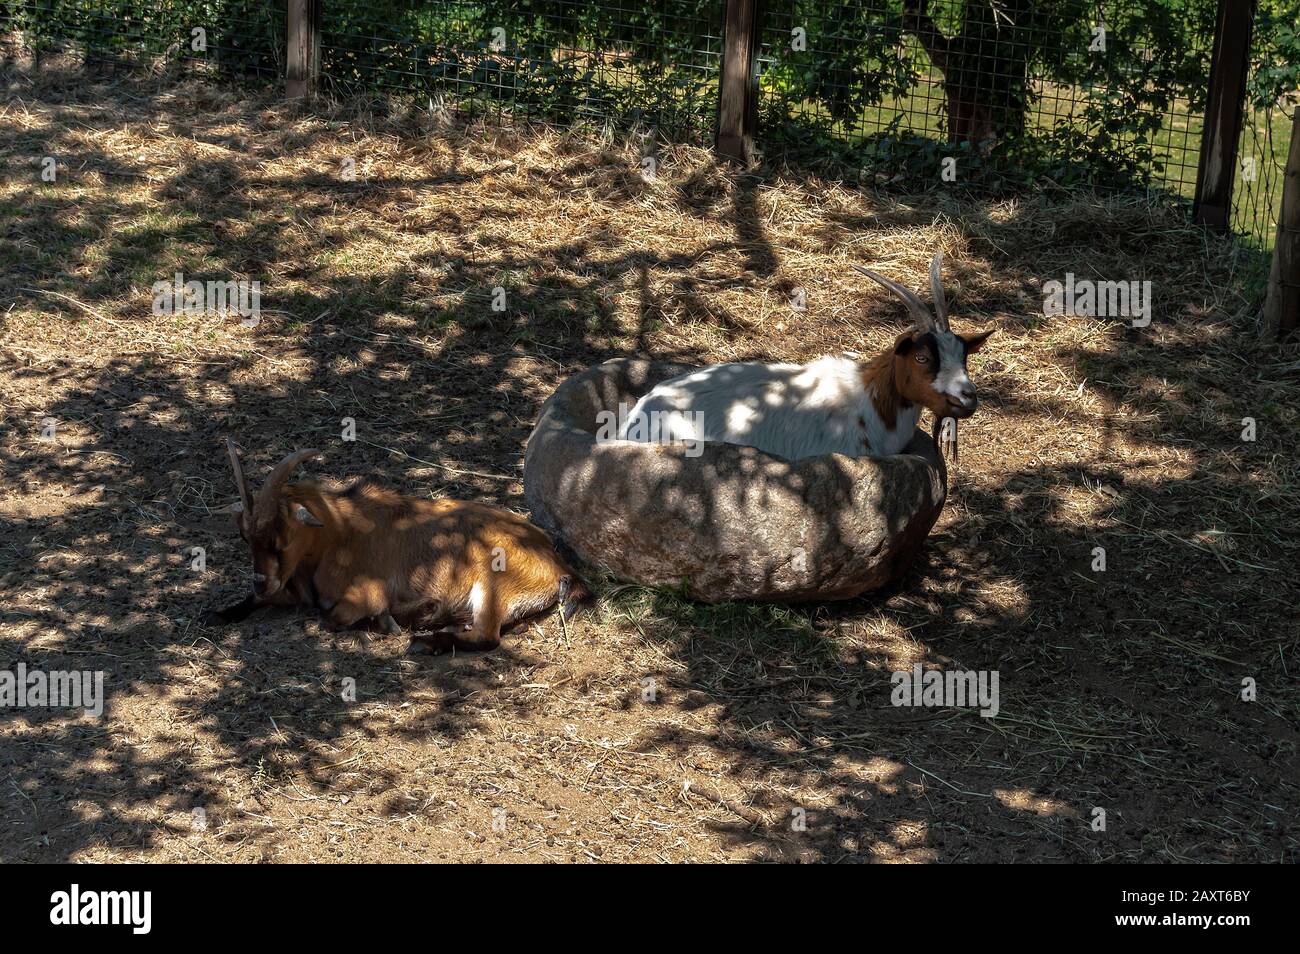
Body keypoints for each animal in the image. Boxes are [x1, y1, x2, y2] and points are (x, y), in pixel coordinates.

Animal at [206, 441, 590, 657]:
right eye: (245, 537)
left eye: (281, 538)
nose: (260, 582)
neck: (338, 536)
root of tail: (560, 567)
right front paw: (221, 613)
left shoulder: (365, 593)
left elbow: (330, 619)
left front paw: (389, 622)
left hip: (491, 581)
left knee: (488, 637)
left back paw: (426, 639)